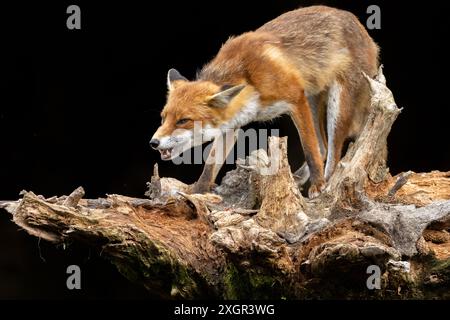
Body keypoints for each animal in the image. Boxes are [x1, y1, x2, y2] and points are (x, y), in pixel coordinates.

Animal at [149, 5, 378, 198]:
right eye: (163, 118)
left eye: (183, 120)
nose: (153, 142)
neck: (248, 77)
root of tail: (359, 25)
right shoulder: (231, 125)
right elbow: (210, 166)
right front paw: (197, 192)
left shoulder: (296, 98)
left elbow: (310, 151)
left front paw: (319, 184)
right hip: (312, 99)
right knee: (323, 147)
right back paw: (297, 178)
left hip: (336, 106)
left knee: (332, 151)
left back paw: (326, 184)